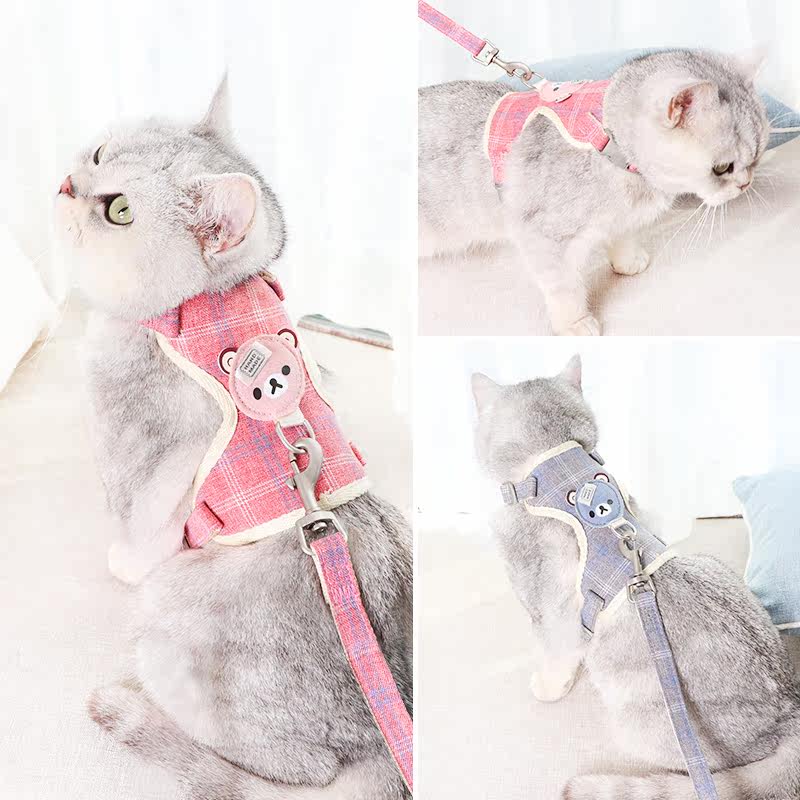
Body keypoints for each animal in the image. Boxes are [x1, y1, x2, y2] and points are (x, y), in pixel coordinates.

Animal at [54, 78, 411, 800]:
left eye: (119, 210)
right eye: (99, 153)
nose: (67, 184)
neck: (198, 309)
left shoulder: (136, 457)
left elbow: (135, 532)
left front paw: (120, 560)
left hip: (167, 625)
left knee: (284, 771)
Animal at [419, 50, 769, 336]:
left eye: (756, 156)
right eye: (722, 168)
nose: (745, 184)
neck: (607, 145)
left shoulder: (622, 215)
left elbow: (622, 233)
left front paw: (627, 260)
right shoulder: (543, 236)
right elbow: (563, 286)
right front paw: (574, 323)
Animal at [471, 355, 800, 799]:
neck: (555, 472)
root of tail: (788, 717)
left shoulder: (544, 603)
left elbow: (555, 652)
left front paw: (549, 687)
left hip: (636, 722)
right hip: (711, 563)